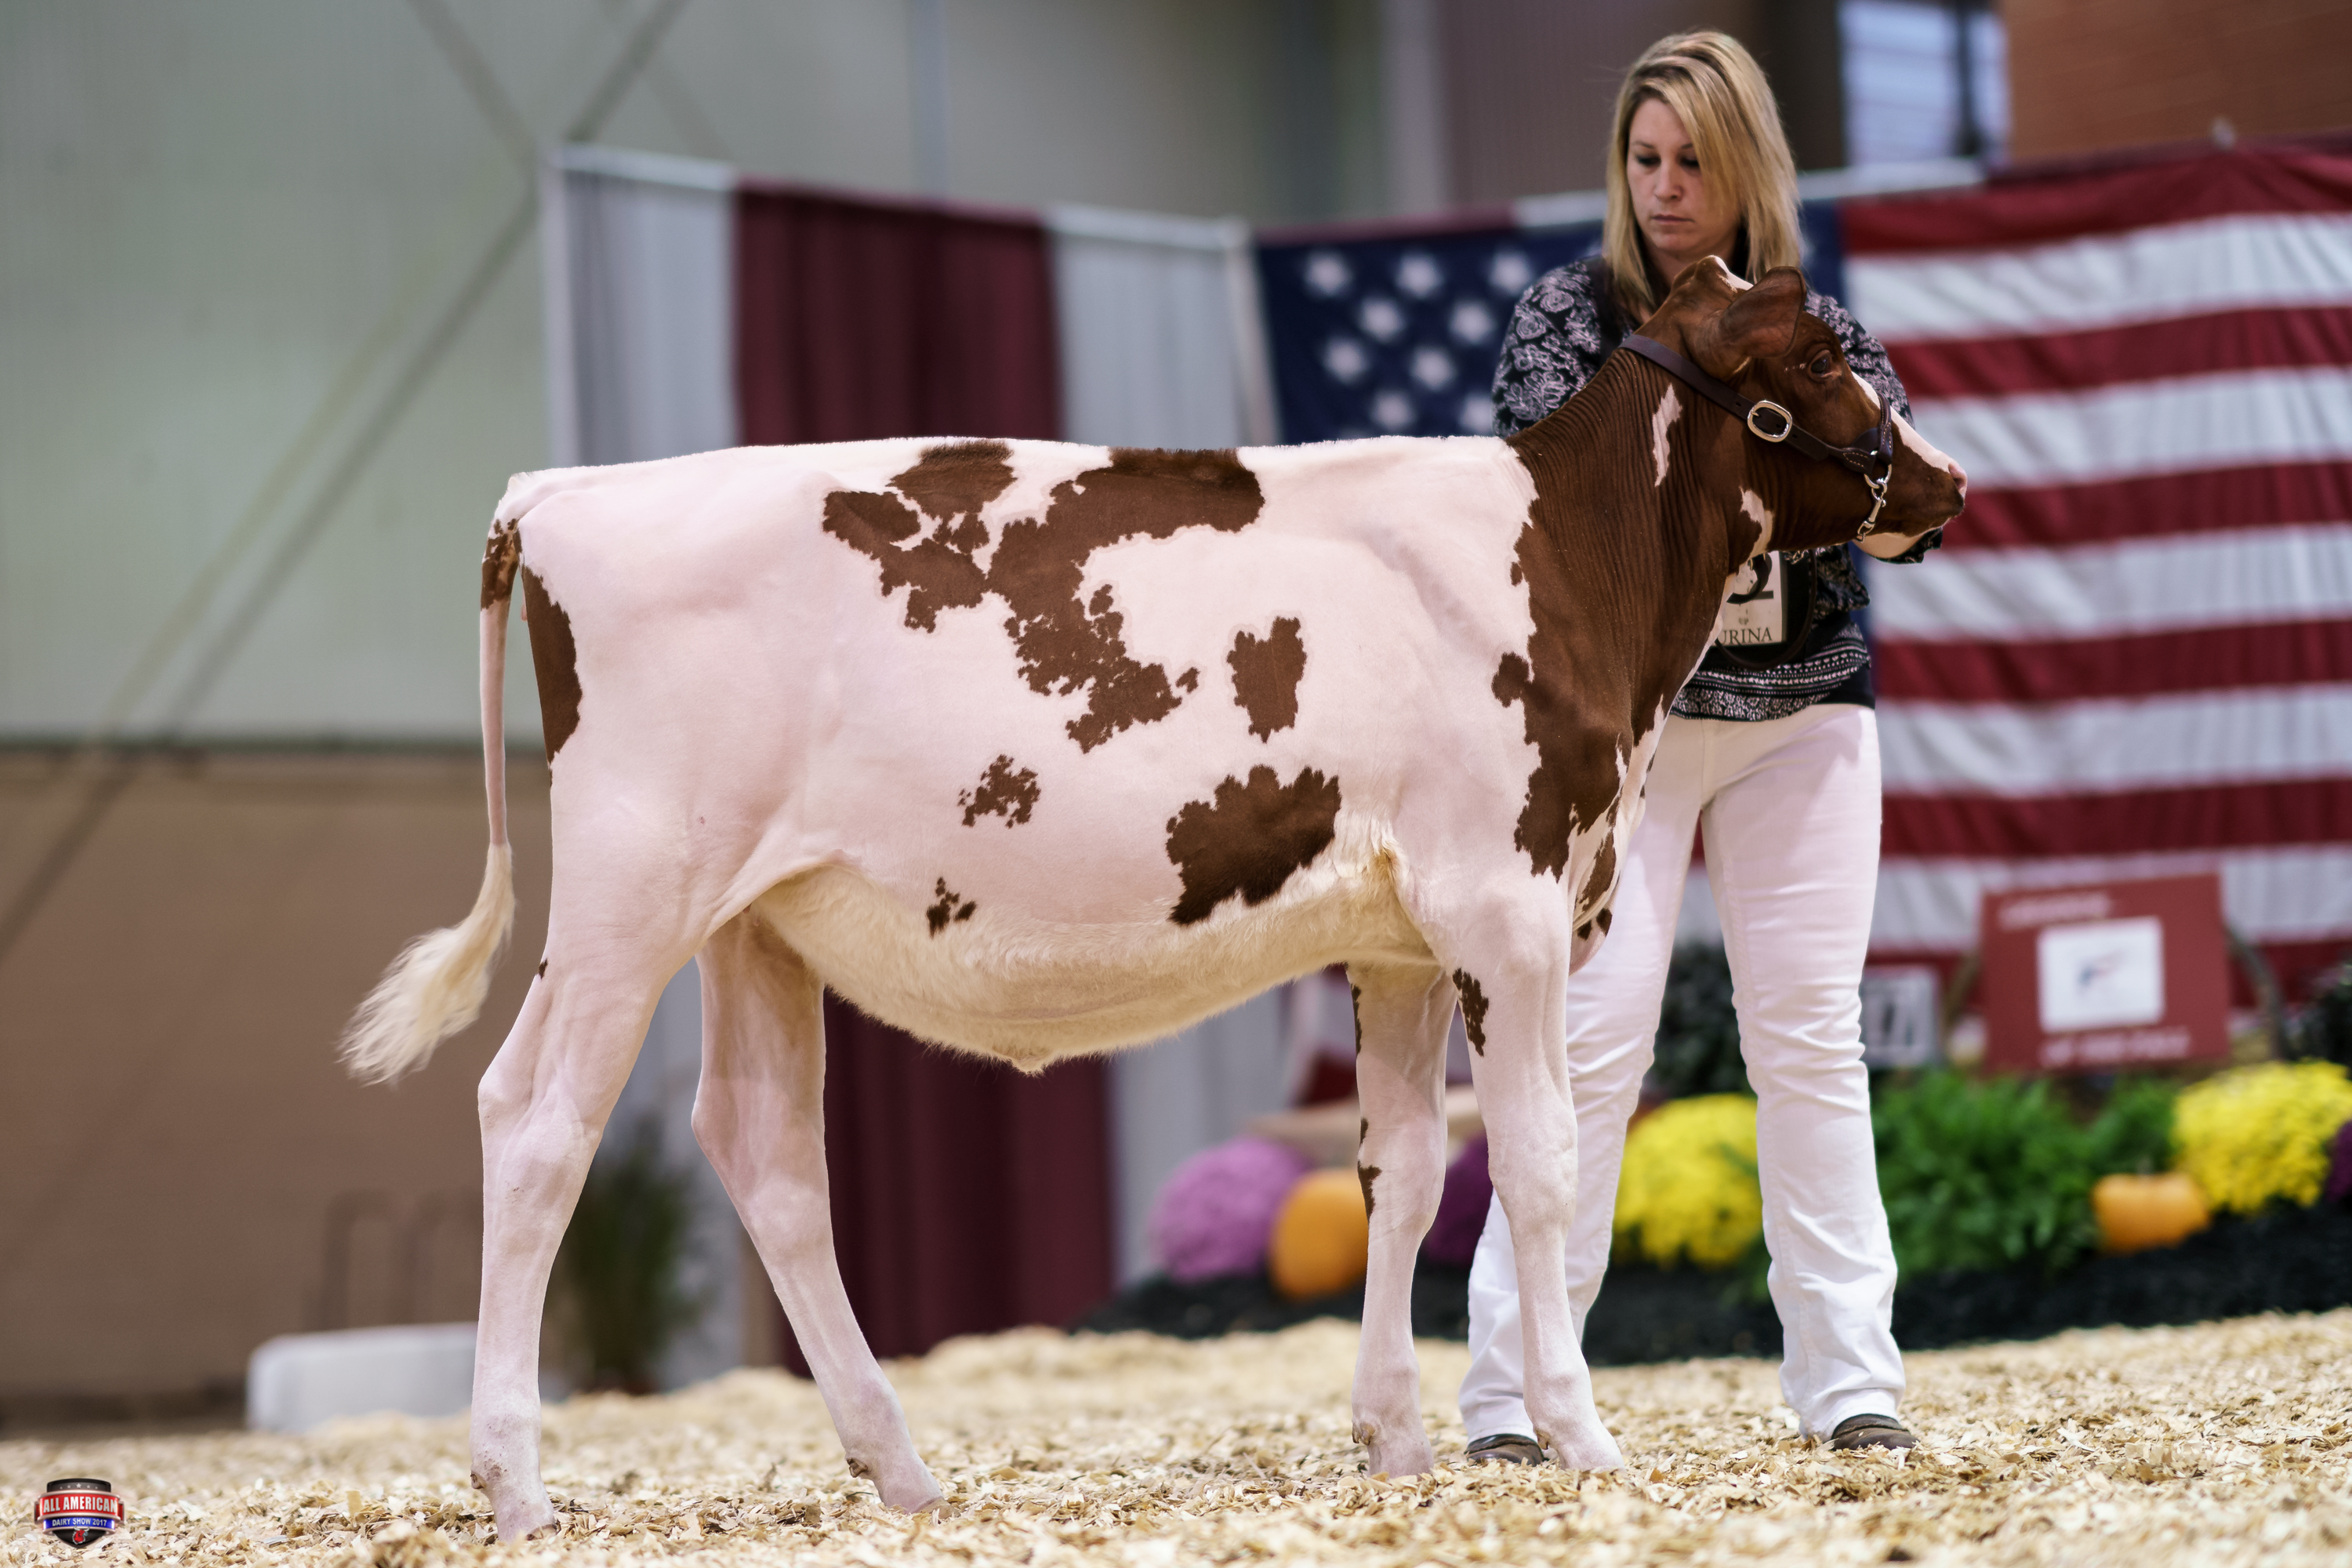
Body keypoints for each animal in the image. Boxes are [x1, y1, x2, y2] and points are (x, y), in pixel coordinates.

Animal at [343, 257, 1965, 1540]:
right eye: (1821, 354)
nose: (1948, 483)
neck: (1570, 562)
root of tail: (562, 493)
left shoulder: (1398, 941)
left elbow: (1401, 1174)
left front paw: (1395, 1439)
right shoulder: (1503, 900)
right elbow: (1544, 1169)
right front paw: (1580, 1438)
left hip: (757, 918)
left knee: (766, 1154)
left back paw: (900, 1467)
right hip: (632, 890)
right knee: (535, 1122)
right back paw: (516, 1485)